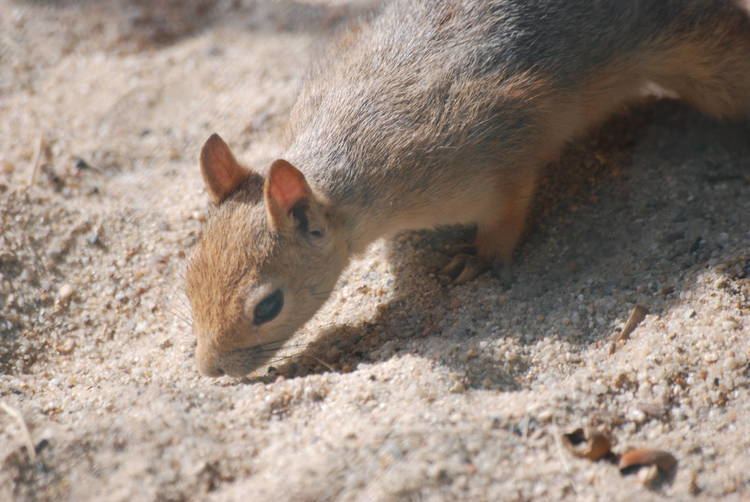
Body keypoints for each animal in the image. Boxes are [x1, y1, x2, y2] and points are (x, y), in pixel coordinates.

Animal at [187, 0, 750, 376]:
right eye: (187, 283)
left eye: (267, 307)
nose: (209, 370)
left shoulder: (497, 150)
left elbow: (509, 210)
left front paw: (479, 258)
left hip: (706, 63)